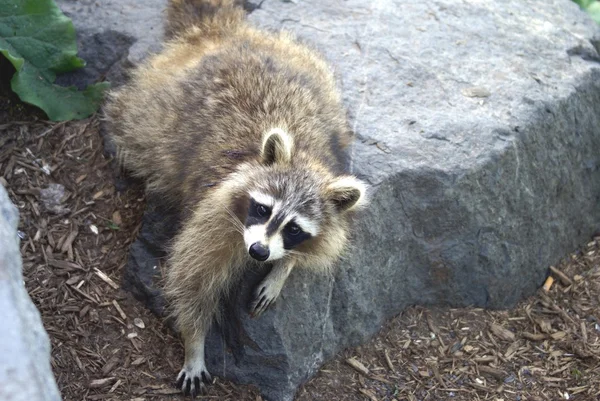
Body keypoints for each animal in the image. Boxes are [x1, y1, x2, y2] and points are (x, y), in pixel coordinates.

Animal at [102, 0, 366, 394]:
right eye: (262, 209)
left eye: (294, 229)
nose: (258, 252)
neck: (304, 159)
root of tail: (218, 33)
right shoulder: (214, 218)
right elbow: (191, 280)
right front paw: (194, 344)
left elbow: (323, 247)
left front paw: (284, 266)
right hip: (152, 110)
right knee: (134, 127)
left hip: (319, 85)